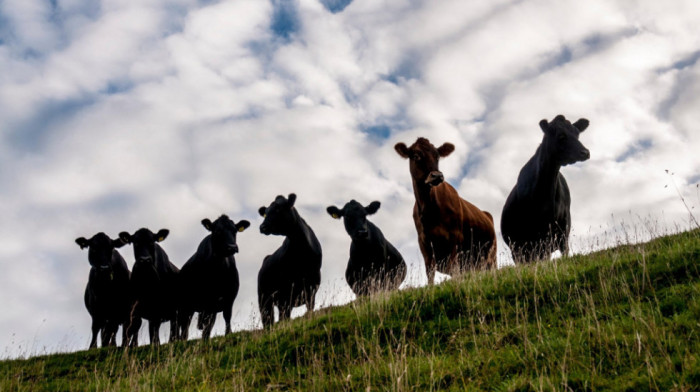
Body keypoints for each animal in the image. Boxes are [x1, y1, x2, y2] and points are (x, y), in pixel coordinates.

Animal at [258, 194, 322, 328]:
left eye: (278, 209)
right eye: (266, 213)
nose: (262, 227)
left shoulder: (311, 287)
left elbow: (310, 308)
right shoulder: (285, 293)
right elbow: (284, 317)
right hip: (264, 299)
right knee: (268, 319)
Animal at [394, 136, 498, 284]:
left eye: (437, 156)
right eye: (416, 155)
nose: (437, 176)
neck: (430, 209)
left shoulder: (455, 237)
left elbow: (453, 267)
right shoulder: (423, 240)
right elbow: (430, 270)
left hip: (491, 254)